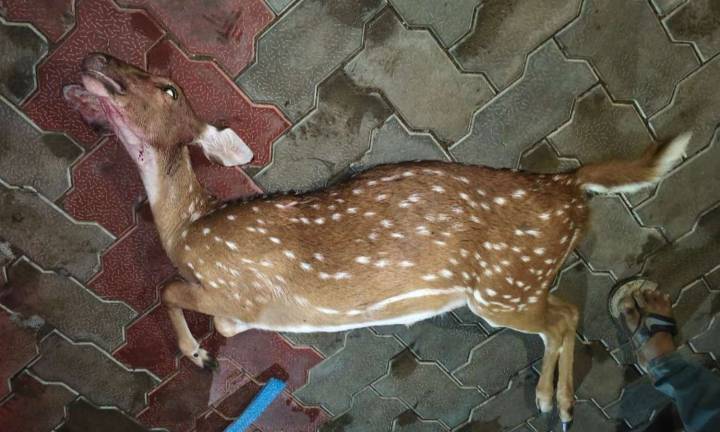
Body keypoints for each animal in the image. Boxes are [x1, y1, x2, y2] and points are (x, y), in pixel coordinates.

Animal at [64, 53, 689, 429]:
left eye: (168, 87)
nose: (96, 60)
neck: (191, 226)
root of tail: (568, 187)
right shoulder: (239, 306)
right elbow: (207, 314)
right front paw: (206, 345)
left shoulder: (241, 287)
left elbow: (168, 291)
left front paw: (196, 355)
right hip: (521, 281)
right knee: (565, 312)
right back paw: (557, 401)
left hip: (503, 287)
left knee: (561, 318)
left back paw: (551, 400)